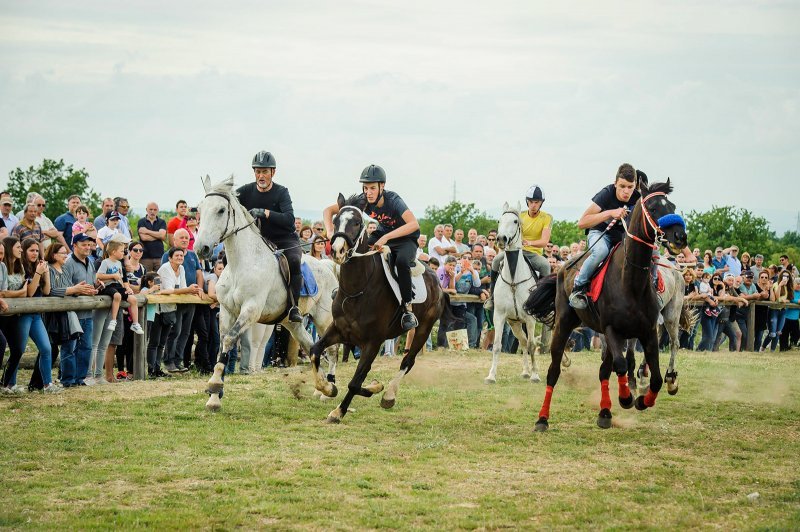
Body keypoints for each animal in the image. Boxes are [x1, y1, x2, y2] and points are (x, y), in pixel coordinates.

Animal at [197, 177, 340, 410]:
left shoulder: (251, 310)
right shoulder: (227, 311)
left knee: (332, 350)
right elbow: (223, 344)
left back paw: (329, 390)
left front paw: (215, 386)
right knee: (311, 347)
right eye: (199, 209)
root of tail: (327, 265)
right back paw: (323, 387)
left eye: (220, 210)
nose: (202, 249)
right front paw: (214, 396)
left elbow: (229, 339)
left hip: (323, 317)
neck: (240, 264)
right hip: (292, 322)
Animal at [310, 194, 450, 424]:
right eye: (336, 220)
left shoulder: (372, 342)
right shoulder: (338, 331)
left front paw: (339, 411)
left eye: (357, 223)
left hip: (423, 328)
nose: (337, 250)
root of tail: (435, 279)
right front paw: (328, 388)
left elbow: (355, 382)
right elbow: (315, 351)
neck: (357, 290)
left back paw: (389, 395)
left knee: (408, 361)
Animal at [482, 203, 568, 382]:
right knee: (521, 341)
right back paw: (525, 371)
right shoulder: (499, 316)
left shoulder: (530, 318)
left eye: (515, 221)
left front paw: (535, 375)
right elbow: (498, 345)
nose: (501, 239)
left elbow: (532, 344)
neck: (514, 279)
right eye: (499, 220)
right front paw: (491, 376)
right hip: (514, 322)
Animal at [524, 181, 688, 430]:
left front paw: (642, 400)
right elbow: (620, 365)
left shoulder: (648, 331)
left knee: (610, 368)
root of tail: (562, 269)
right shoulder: (612, 330)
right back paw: (542, 419)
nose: (680, 236)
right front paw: (627, 397)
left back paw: (605, 412)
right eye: (652, 207)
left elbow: (655, 378)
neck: (630, 282)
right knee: (554, 371)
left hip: (669, 314)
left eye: (672, 206)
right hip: (564, 325)